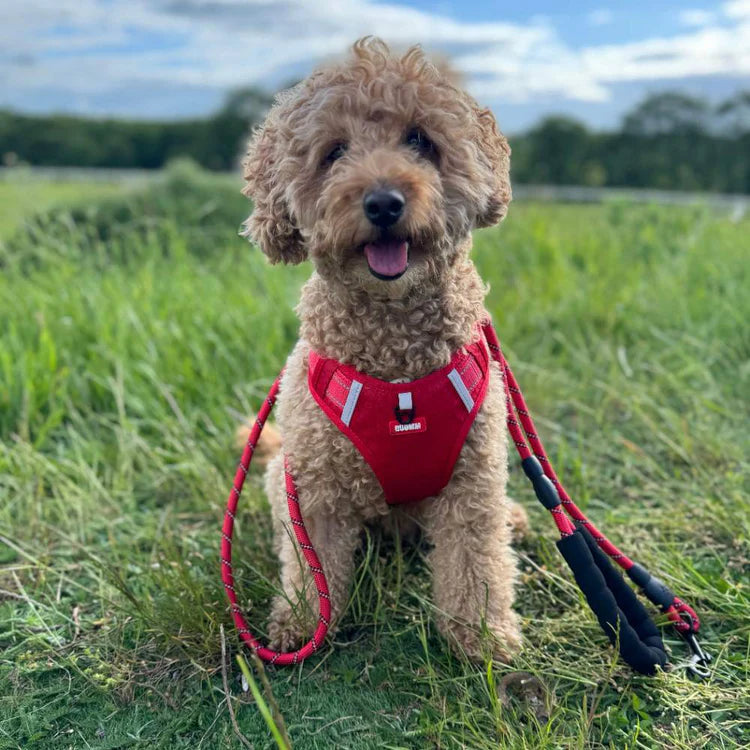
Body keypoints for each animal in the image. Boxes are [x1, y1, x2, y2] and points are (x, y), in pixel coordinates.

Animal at [241, 36, 528, 664]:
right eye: (333, 152)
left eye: (420, 140)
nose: (383, 202)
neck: (397, 373)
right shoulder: (315, 489)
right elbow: (312, 568)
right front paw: (302, 626)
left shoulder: (473, 480)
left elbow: (477, 563)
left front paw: (481, 637)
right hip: (281, 476)